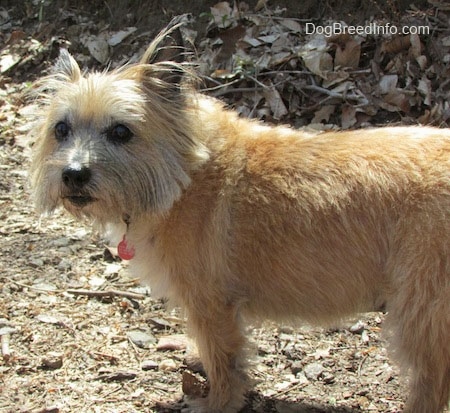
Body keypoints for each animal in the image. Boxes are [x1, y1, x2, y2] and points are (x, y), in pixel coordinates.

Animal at [29, 25, 448, 412]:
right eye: (61, 129)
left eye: (121, 131)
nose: (73, 174)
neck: (187, 170)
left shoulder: (211, 305)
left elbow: (223, 363)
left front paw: (217, 402)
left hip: (421, 313)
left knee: (431, 383)